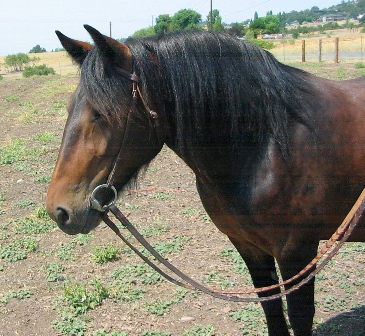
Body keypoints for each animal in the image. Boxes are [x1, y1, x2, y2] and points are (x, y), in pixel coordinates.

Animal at [46, 25, 364, 334]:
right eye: (69, 108)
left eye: (101, 113)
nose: (59, 210)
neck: (268, 146)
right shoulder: (250, 247)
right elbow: (272, 312)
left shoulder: (297, 253)